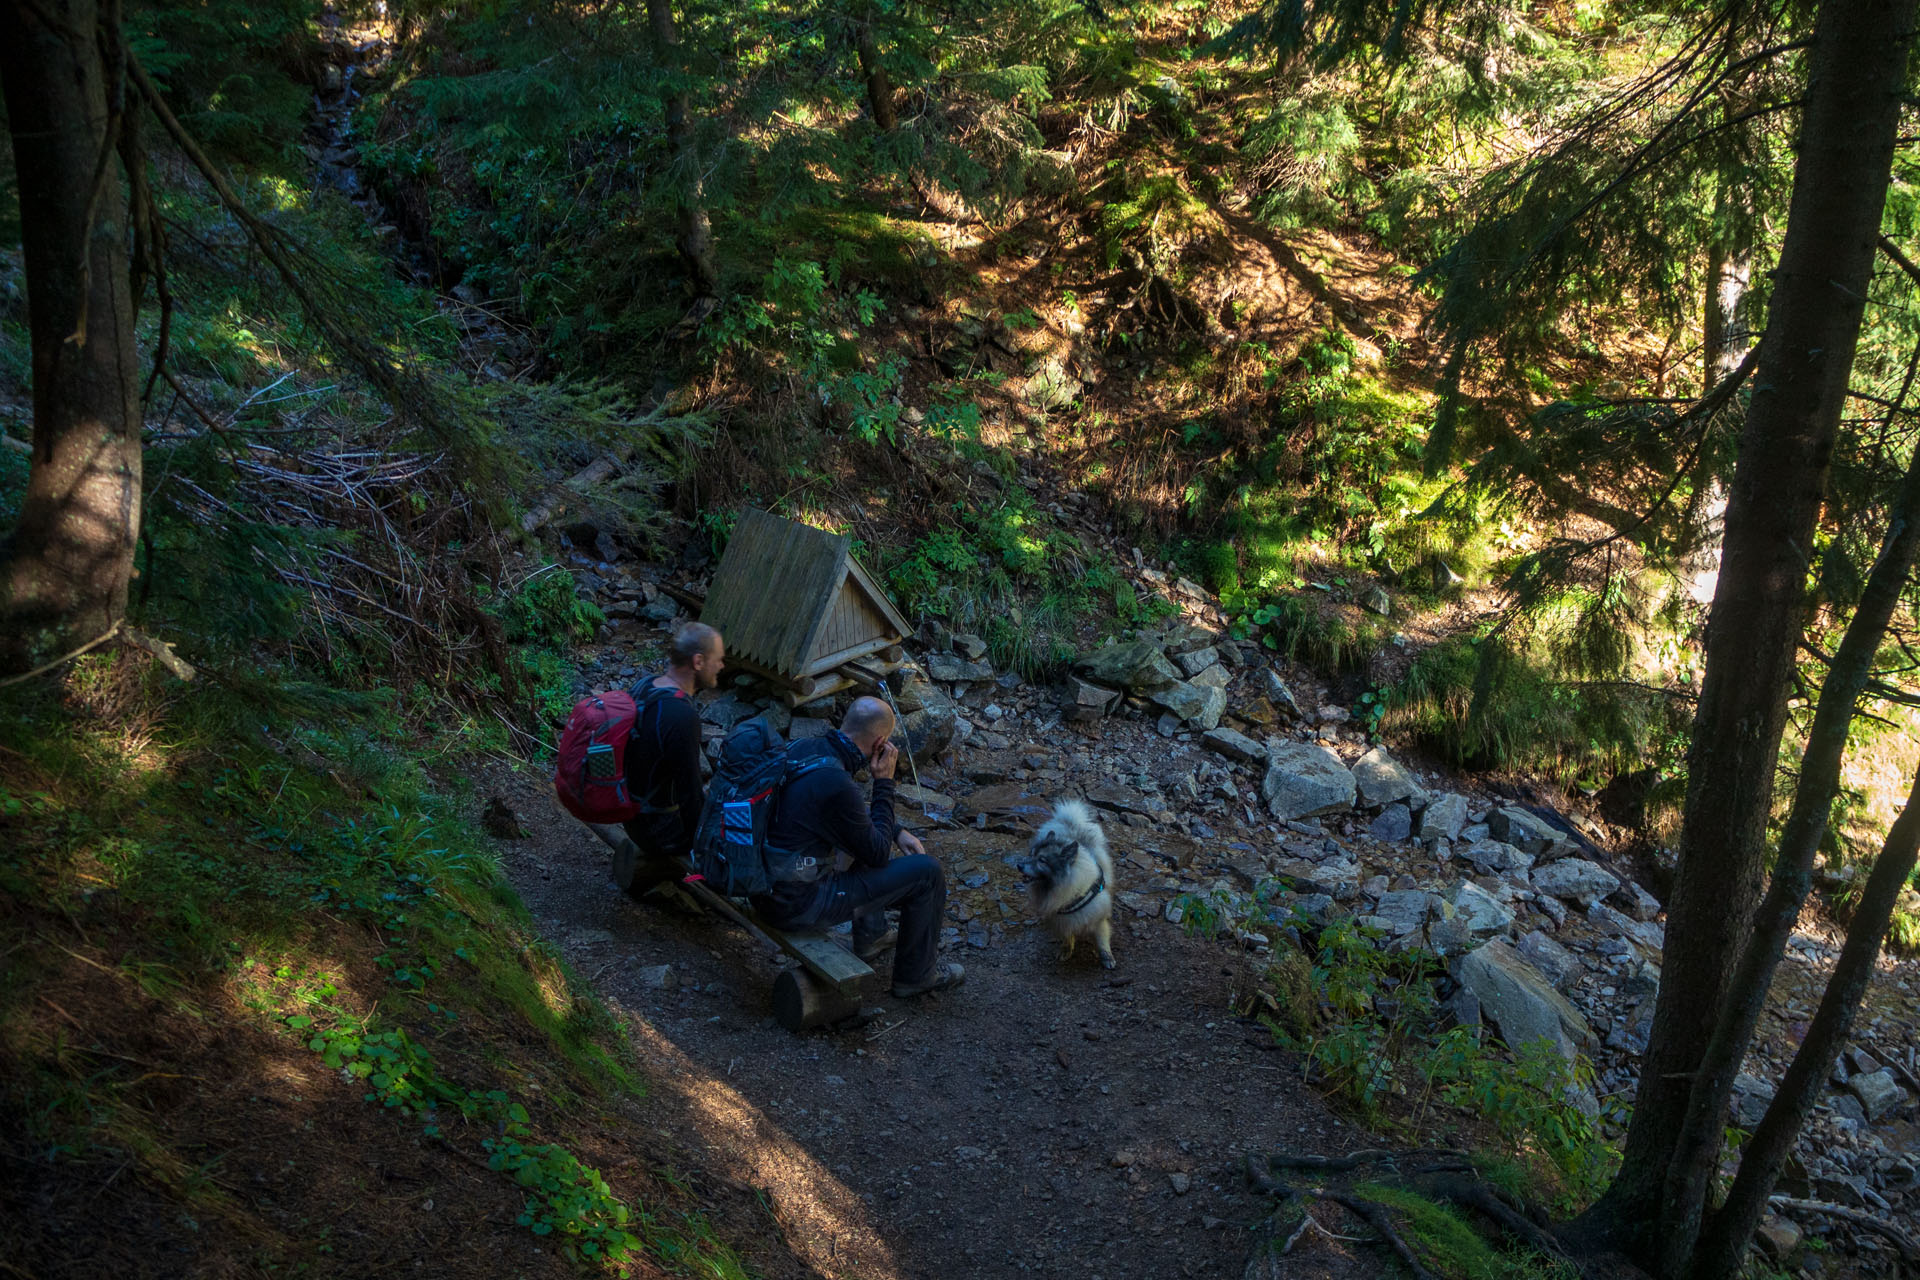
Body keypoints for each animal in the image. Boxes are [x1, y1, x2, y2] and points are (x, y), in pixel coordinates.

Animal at [1013, 802, 1121, 971]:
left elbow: (1102, 940)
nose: (1019, 865)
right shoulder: (1061, 920)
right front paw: (1066, 949)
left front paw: (1107, 957)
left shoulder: (1098, 918)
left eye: (1042, 860)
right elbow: (1067, 936)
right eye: (1031, 854)